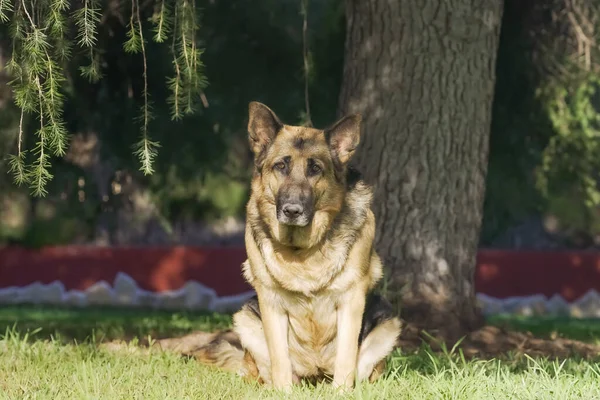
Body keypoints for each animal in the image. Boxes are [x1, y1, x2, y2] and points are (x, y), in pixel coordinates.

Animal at [190, 101, 400, 390]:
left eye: (315, 169)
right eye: (281, 166)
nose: (292, 210)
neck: (302, 251)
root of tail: (316, 372)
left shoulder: (352, 300)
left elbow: (346, 357)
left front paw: (342, 392)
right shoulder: (270, 303)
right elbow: (279, 358)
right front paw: (283, 392)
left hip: (386, 320)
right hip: (247, 317)